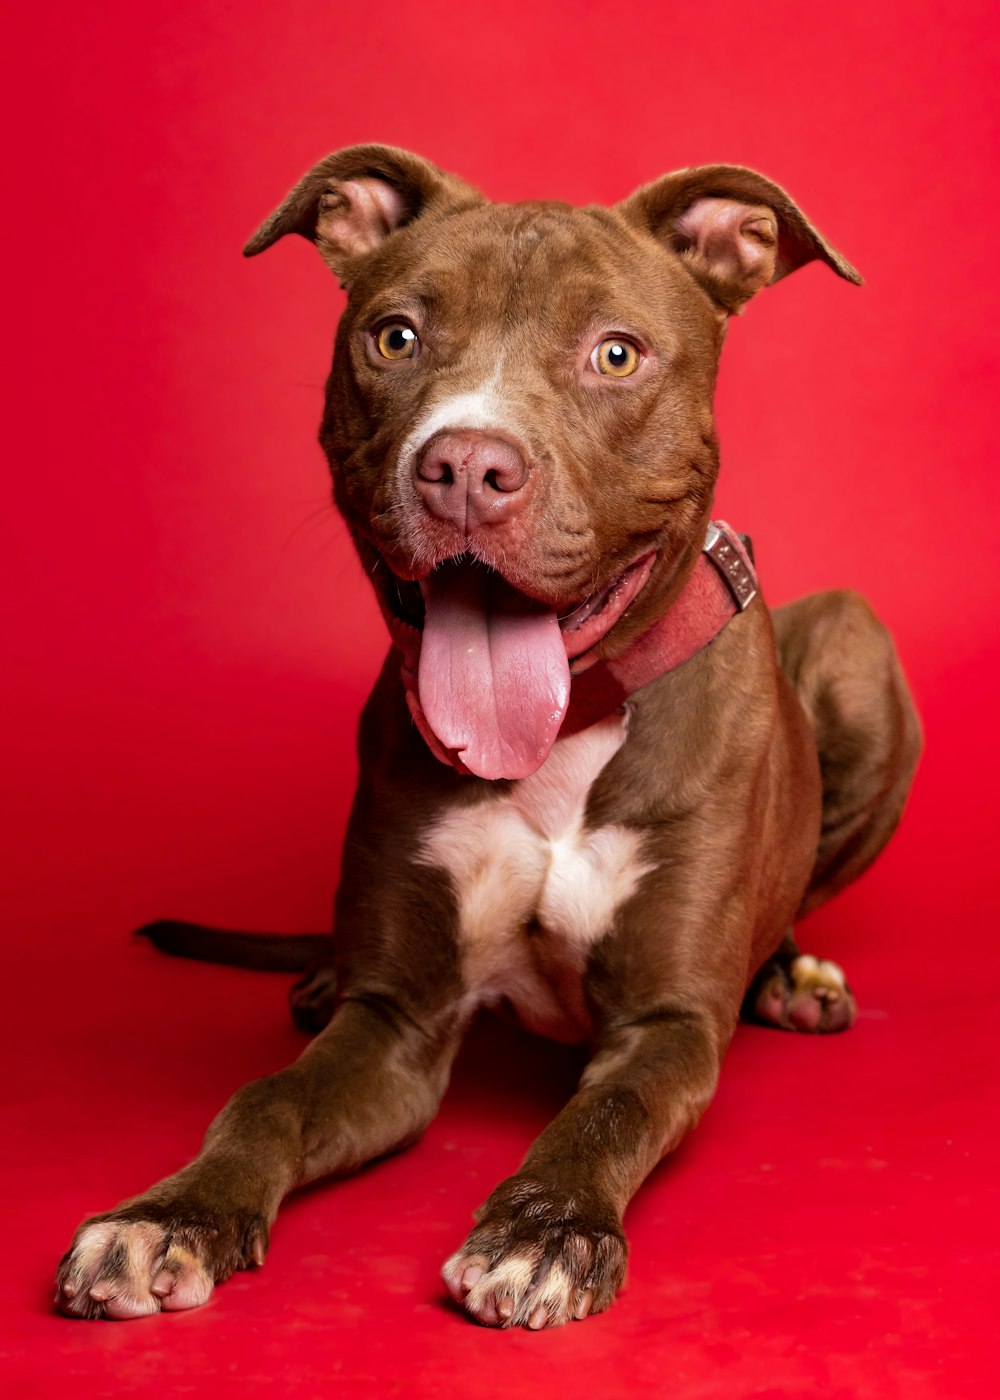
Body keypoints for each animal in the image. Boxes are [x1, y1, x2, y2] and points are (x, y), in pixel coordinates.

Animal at [56, 147, 918, 1327]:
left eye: (615, 352)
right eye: (396, 336)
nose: (466, 465)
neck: (559, 740)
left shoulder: (666, 1026)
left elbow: (603, 1114)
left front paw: (547, 1230)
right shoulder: (396, 1029)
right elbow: (266, 1098)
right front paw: (168, 1215)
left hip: (856, 644)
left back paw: (792, 973)